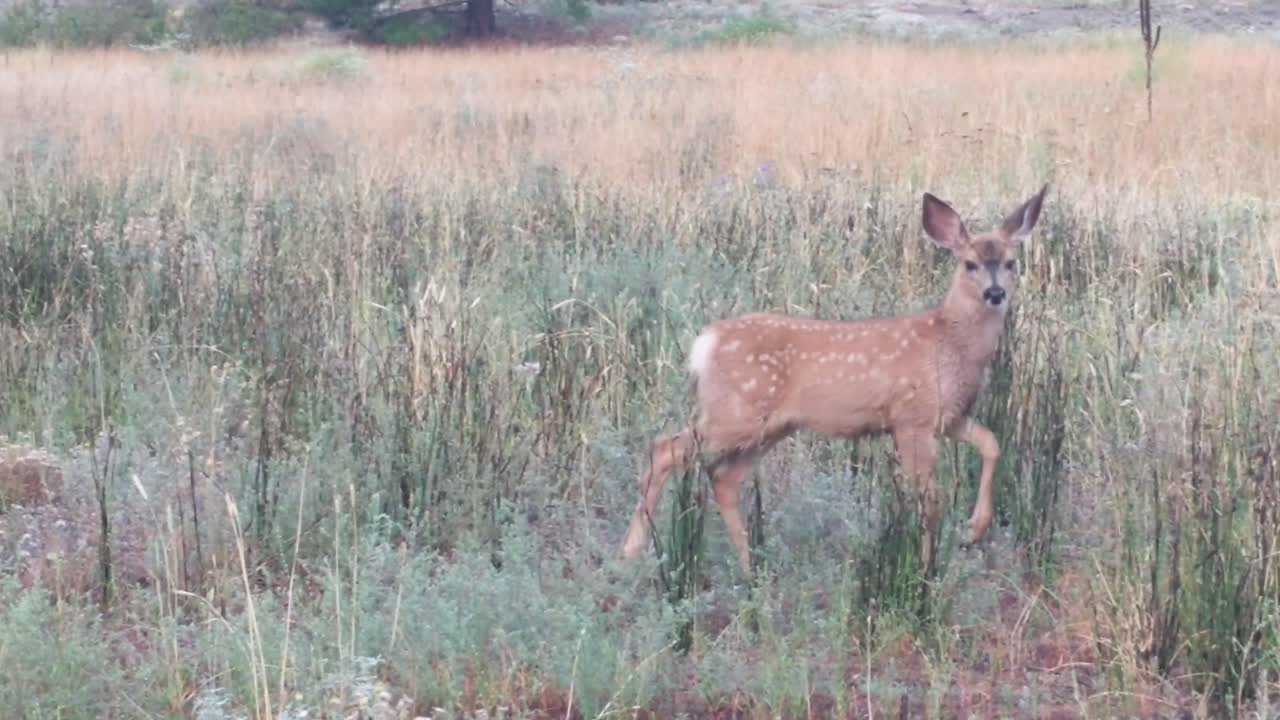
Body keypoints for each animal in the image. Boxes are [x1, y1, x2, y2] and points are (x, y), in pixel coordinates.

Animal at [620, 185, 1049, 577]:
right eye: (970, 264)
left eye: (1011, 262)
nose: (995, 293)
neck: (949, 344)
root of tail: (704, 344)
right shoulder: (912, 418)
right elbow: (931, 501)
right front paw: (924, 570)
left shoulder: (951, 417)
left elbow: (992, 444)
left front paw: (975, 529)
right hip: (734, 412)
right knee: (664, 449)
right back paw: (631, 554)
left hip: (766, 427)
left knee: (723, 477)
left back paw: (751, 568)